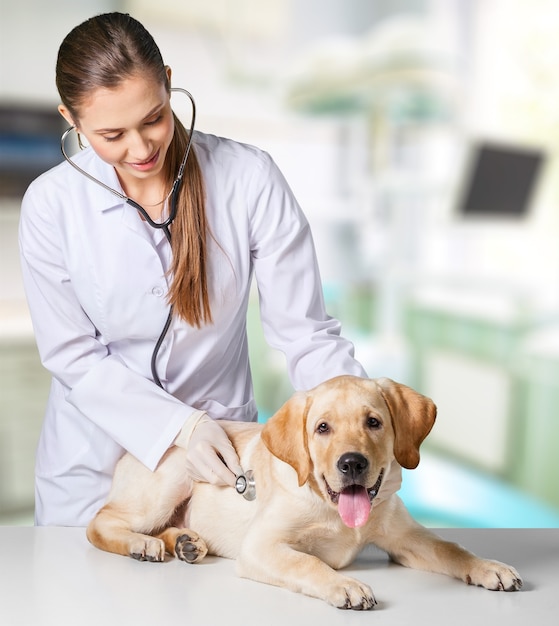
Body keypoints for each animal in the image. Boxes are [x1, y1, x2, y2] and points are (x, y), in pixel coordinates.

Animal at [86, 376, 520, 608]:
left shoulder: (405, 537)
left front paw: (489, 567)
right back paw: (142, 544)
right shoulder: (261, 545)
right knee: (99, 523)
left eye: (374, 422)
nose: (352, 464)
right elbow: (307, 563)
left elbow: (451, 547)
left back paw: (185, 542)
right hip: (171, 480)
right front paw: (345, 585)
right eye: (322, 428)